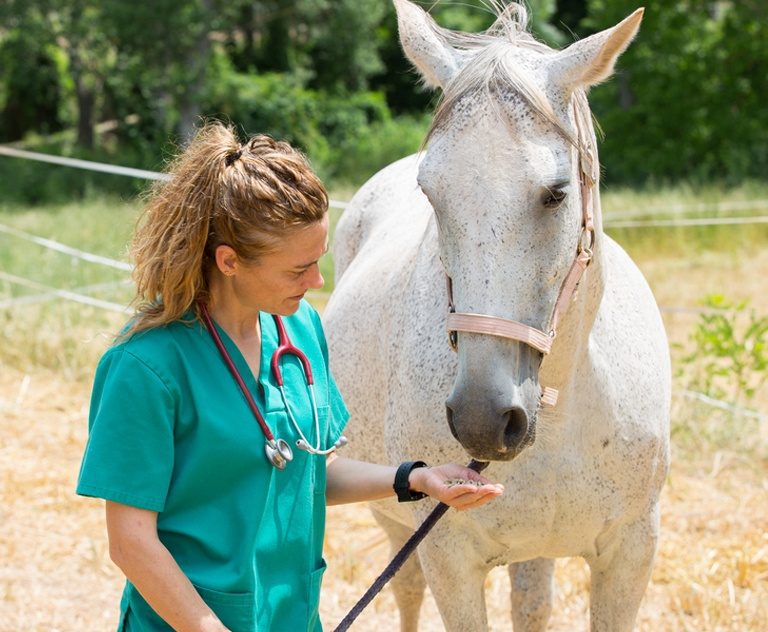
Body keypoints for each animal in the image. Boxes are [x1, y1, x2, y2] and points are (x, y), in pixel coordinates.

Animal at [324, 2, 672, 628]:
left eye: (556, 193)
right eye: (430, 192)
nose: (483, 420)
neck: (561, 407)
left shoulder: (631, 553)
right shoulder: (449, 560)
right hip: (396, 525)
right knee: (406, 590)